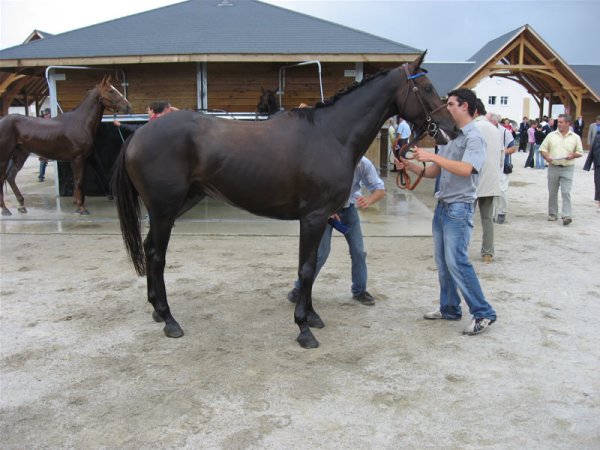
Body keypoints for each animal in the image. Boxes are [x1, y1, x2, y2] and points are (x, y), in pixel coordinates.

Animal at [0, 76, 131, 216]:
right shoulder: (78, 158)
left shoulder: (79, 159)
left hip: (21, 154)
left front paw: (77, 204)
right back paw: (5, 209)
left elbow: (78, 180)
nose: (128, 106)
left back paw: (21, 205)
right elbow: (79, 181)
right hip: (4, 157)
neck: (81, 122)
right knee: (3, 178)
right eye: (111, 91)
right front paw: (81, 208)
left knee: (11, 177)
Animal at [112, 51, 458, 348]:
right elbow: (306, 268)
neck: (331, 135)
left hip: (178, 205)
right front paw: (304, 328)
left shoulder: (322, 218)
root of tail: (137, 135)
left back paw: (157, 310)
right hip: (163, 209)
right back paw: (170, 320)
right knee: (157, 256)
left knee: (150, 249)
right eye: (427, 87)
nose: (450, 129)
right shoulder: (314, 217)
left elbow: (313, 264)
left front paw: (313, 317)